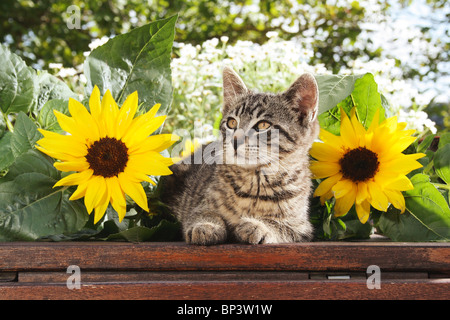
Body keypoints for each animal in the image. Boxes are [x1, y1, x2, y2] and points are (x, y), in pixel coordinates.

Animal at [162, 66, 320, 244]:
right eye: (231, 123)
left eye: (263, 125)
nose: (235, 140)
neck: (254, 183)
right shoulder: (198, 204)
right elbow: (202, 213)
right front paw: (205, 225)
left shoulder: (302, 227)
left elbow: (281, 225)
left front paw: (259, 226)